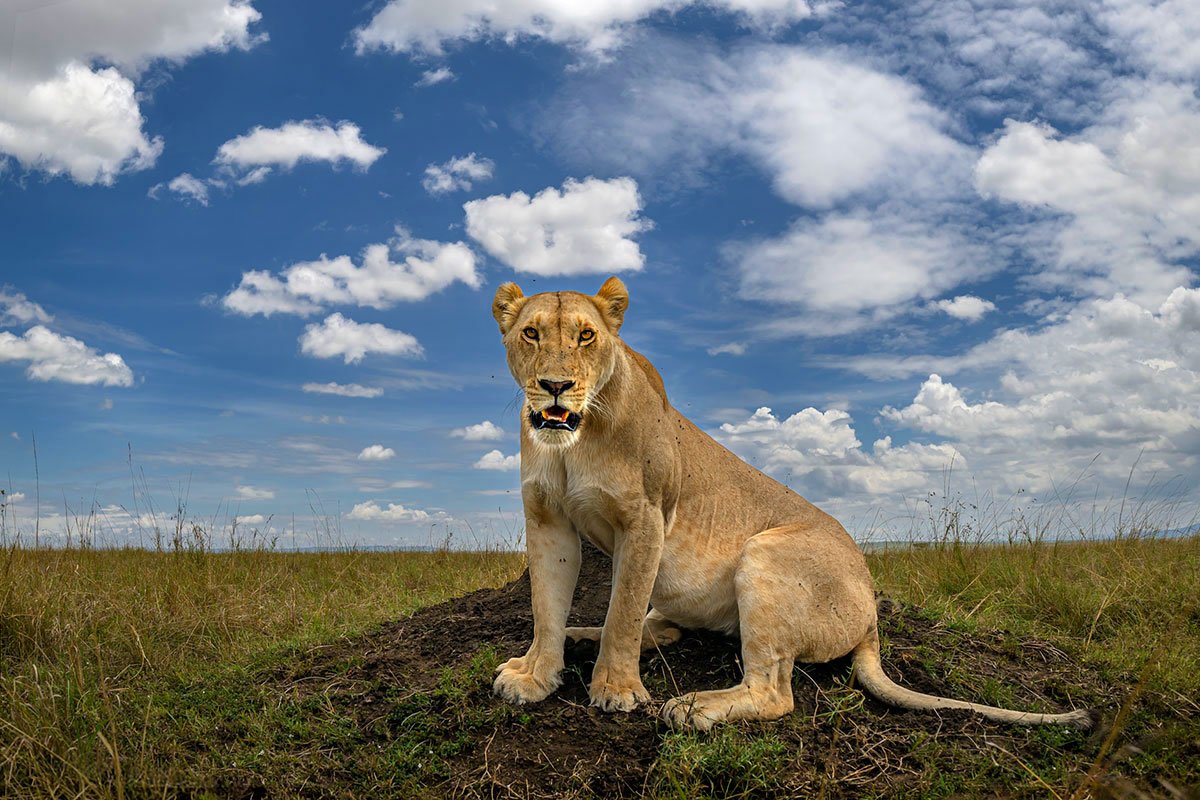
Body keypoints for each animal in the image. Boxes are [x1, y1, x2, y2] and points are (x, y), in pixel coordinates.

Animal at [490, 276, 1092, 731]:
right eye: (531, 333)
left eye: (587, 336)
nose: (555, 385)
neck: (575, 441)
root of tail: (872, 615)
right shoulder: (546, 518)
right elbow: (548, 604)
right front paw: (536, 675)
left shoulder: (646, 518)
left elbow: (623, 611)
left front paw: (616, 689)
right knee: (664, 627)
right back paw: (581, 636)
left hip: (765, 554)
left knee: (773, 691)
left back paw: (691, 706)